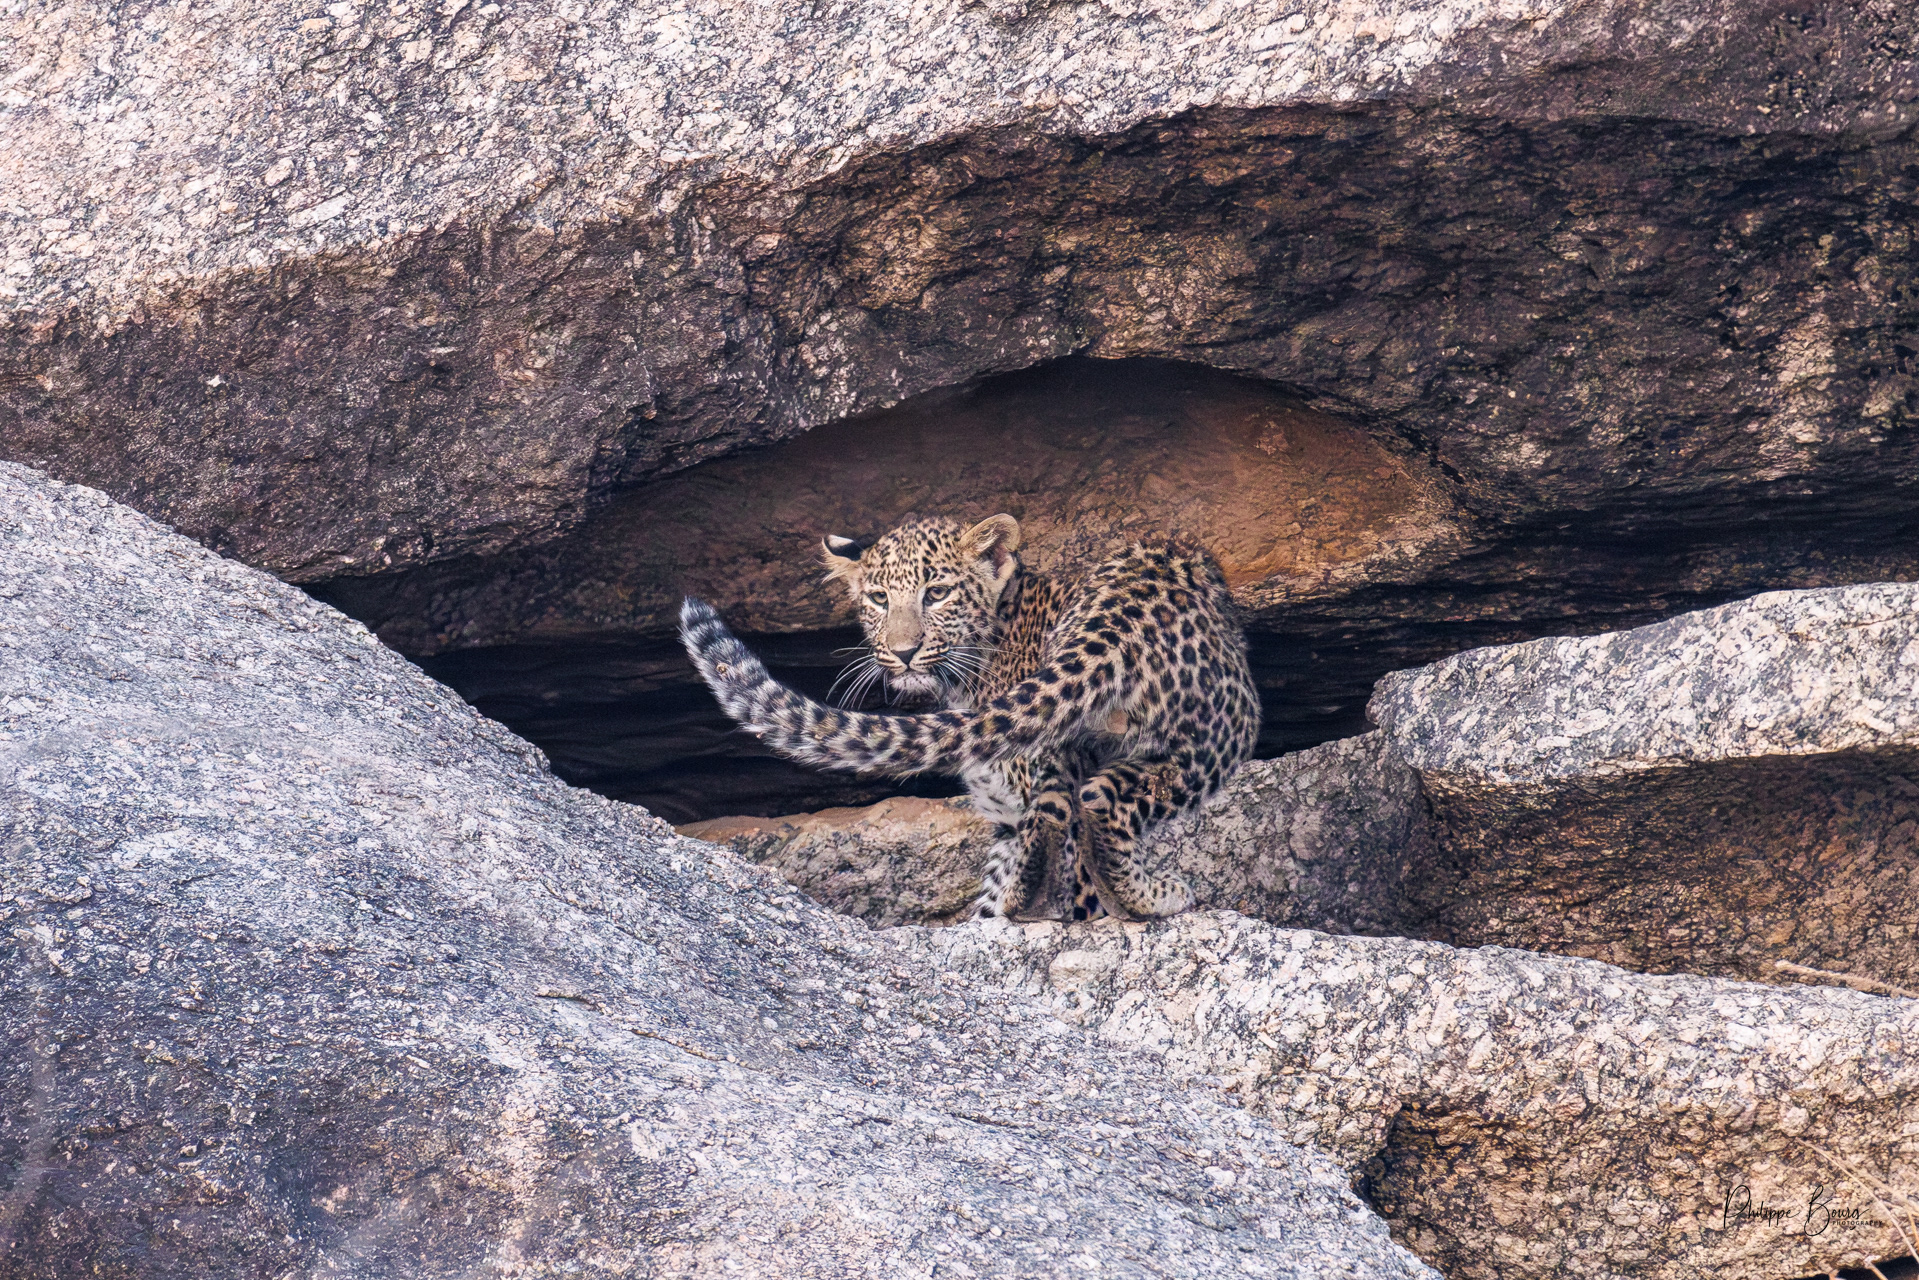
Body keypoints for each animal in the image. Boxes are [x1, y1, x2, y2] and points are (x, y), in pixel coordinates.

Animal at [678, 513, 1260, 922]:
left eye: (937, 593)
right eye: (878, 598)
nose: (904, 652)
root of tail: (1119, 619)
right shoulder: (1006, 814)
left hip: (1224, 726)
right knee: (1078, 807)